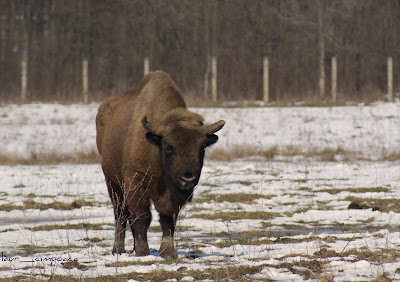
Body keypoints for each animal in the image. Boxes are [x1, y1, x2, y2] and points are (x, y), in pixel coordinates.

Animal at [95, 70, 223, 258]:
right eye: (169, 147)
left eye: (201, 148)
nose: (188, 179)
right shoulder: (135, 182)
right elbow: (142, 217)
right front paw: (143, 251)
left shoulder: (173, 195)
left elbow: (168, 219)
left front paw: (168, 252)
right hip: (112, 183)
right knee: (120, 214)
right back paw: (118, 249)